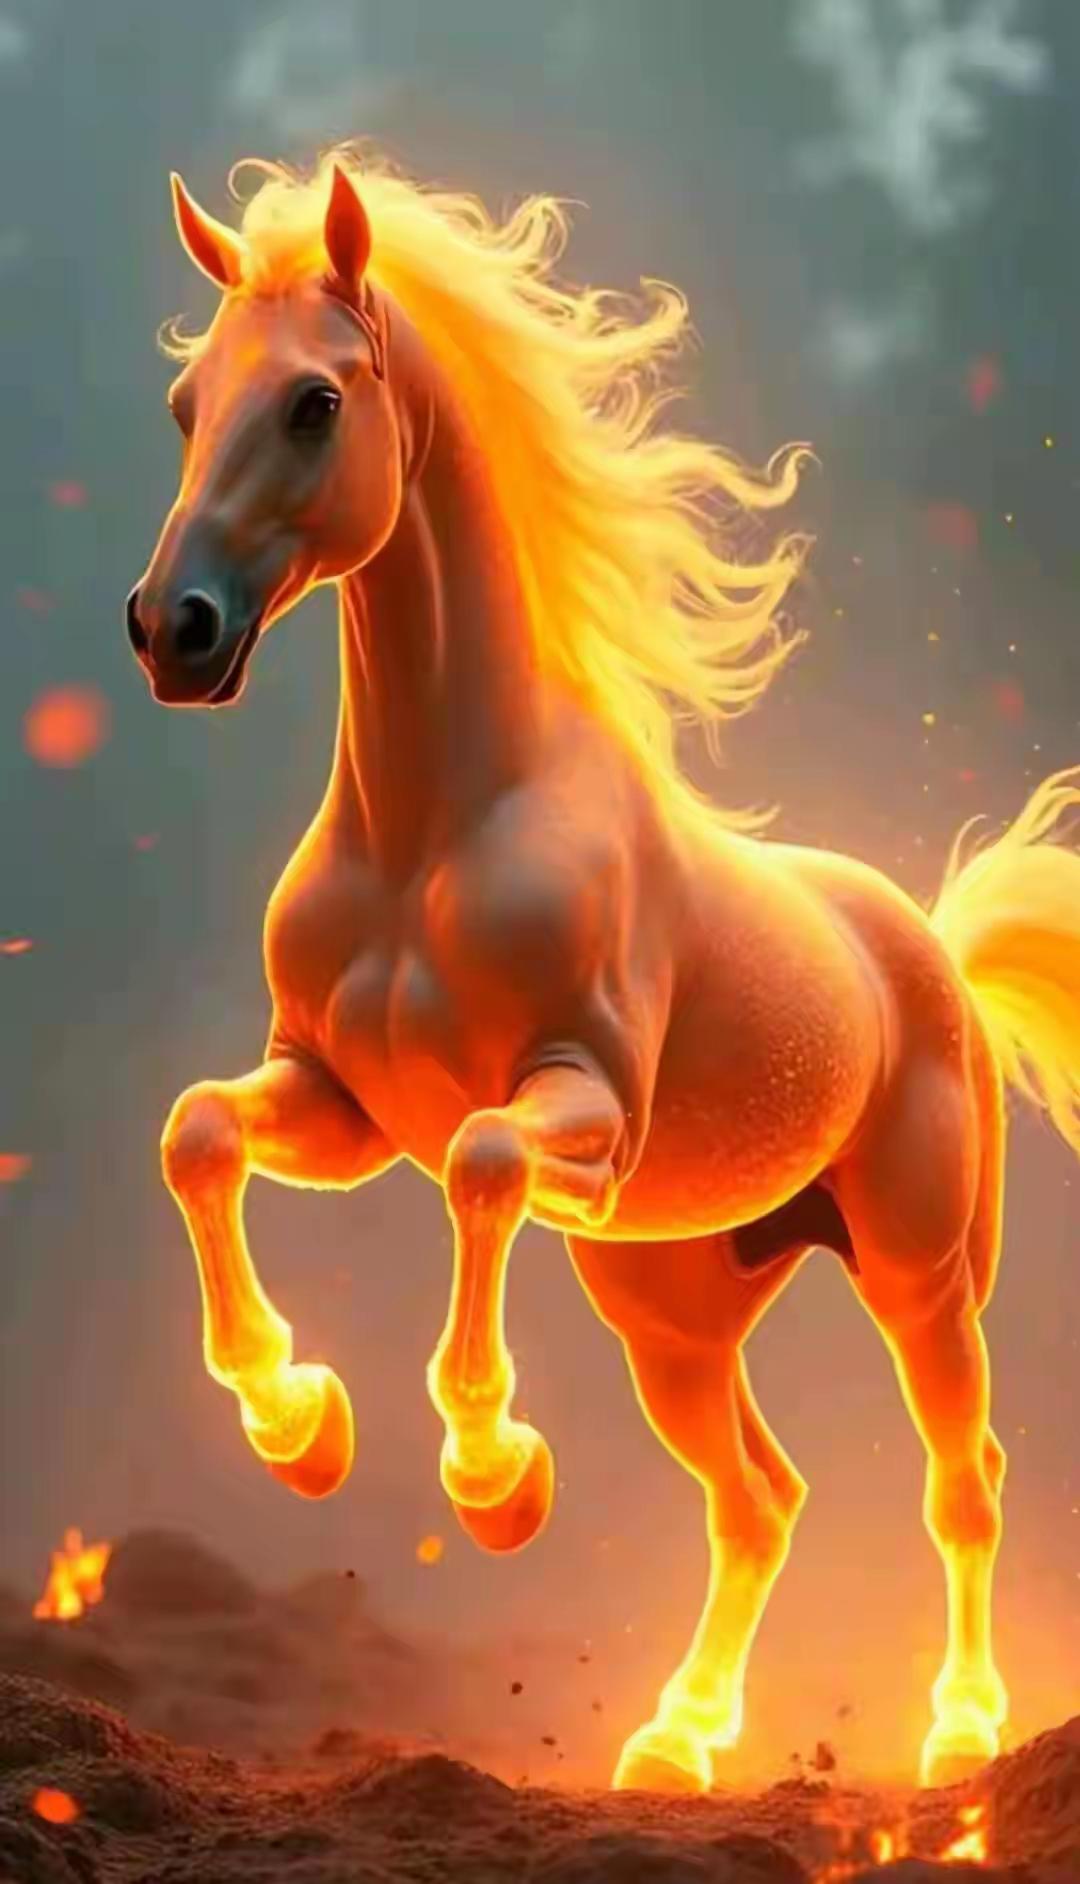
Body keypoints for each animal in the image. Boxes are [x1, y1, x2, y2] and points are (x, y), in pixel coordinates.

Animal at [126, 148, 1080, 1795]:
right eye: (190, 403)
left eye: (314, 402)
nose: (169, 632)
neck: (434, 828)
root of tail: (932, 952)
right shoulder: (336, 1106)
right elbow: (200, 1133)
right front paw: (298, 1427)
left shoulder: (584, 1108)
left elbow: (487, 1166)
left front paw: (494, 1476)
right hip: (673, 1316)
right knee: (760, 1501)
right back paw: (674, 1743)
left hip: (918, 1271)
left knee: (965, 1477)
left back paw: (959, 1732)